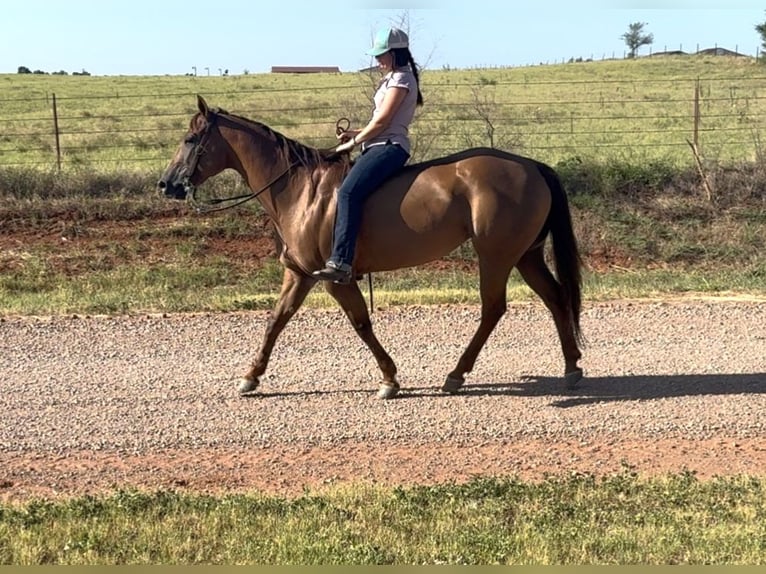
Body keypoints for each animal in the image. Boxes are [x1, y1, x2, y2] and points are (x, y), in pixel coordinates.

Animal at [158, 95, 584, 399]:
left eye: (190, 139)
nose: (166, 184)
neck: (301, 190)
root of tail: (532, 165)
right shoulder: (299, 273)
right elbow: (276, 320)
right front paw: (250, 377)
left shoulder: (334, 278)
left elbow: (360, 322)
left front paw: (389, 380)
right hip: (526, 255)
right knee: (555, 297)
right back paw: (571, 367)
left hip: (495, 256)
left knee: (493, 308)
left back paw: (456, 374)